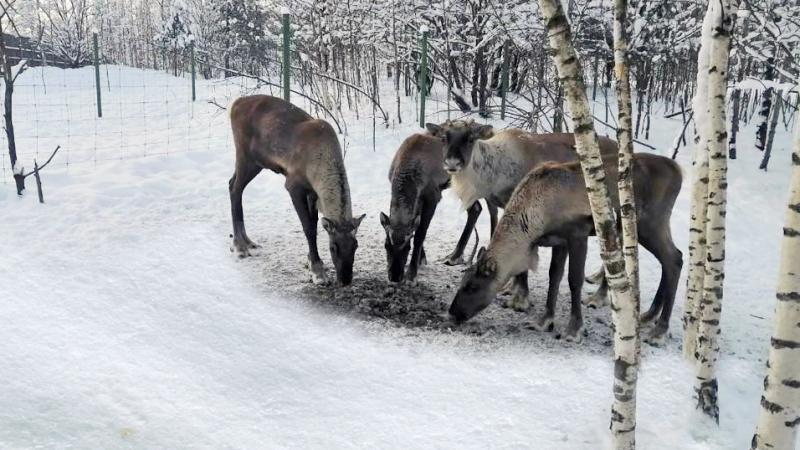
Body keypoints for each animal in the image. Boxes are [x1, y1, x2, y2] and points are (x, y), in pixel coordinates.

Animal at [228, 95, 365, 286]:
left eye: (356, 245)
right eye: (333, 247)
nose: (345, 279)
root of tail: (235, 103)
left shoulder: (313, 193)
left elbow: (314, 224)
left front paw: (311, 262)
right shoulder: (294, 187)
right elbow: (308, 228)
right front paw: (317, 271)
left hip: (256, 163)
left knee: (232, 184)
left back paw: (248, 242)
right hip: (245, 157)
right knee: (235, 189)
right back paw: (239, 246)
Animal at [426, 119, 618, 306]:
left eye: (470, 139)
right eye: (443, 138)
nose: (452, 164)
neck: (495, 171)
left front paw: (519, 294)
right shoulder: (497, 203)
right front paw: (511, 286)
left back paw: (599, 296)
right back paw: (597, 276)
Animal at [448, 152, 683, 343]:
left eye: (473, 286)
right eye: (462, 281)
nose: (452, 312)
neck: (537, 217)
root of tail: (679, 171)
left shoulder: (577, 234)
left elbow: (574, 280)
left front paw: (573, 329)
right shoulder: (559, 241)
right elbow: (554, 277)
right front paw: (544, 320)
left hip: (650, 223)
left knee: (674, 259)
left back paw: (659, 331)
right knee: (673, 259)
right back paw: (648, 316)